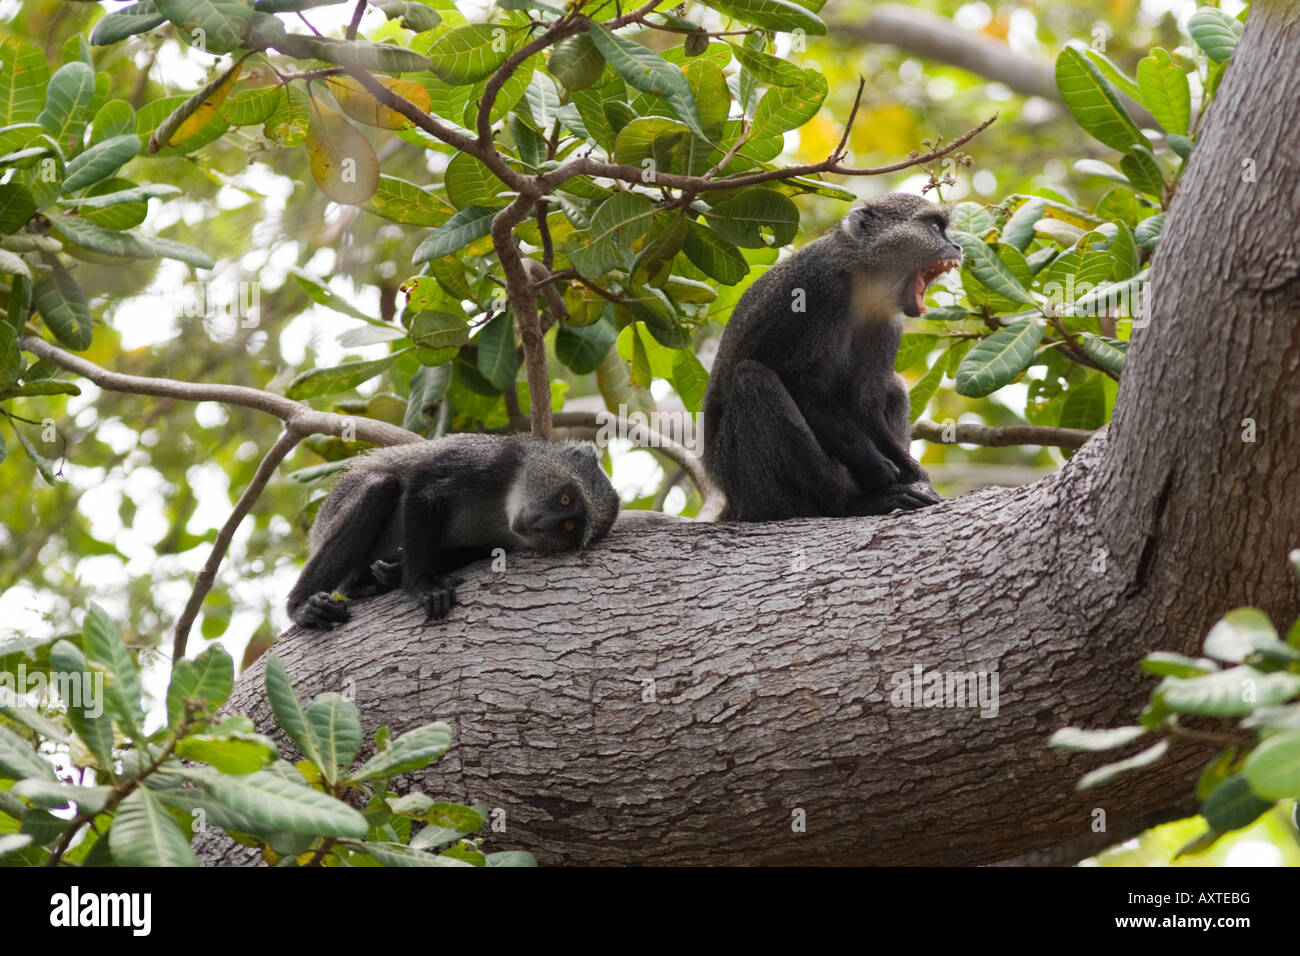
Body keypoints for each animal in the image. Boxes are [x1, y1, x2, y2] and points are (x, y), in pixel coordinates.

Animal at [287, 434, 621, 629]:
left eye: (569, 527)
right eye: (566, 499)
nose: (541, 523)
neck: (504, 503)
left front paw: (397, 573)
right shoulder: (486, 458)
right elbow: (421, 485)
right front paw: (422, 585)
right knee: (380, 486)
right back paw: (302, 607)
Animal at [701, 193, 962, 522]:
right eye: (934, 226)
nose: (957, 247)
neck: (862, 279)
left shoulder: (887, 324)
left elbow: (866, 402)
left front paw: (916, 475)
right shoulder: (816, 286)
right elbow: (798, 381)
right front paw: (877, 468)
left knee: (894, 387)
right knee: (753, 378)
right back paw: (849, 505)